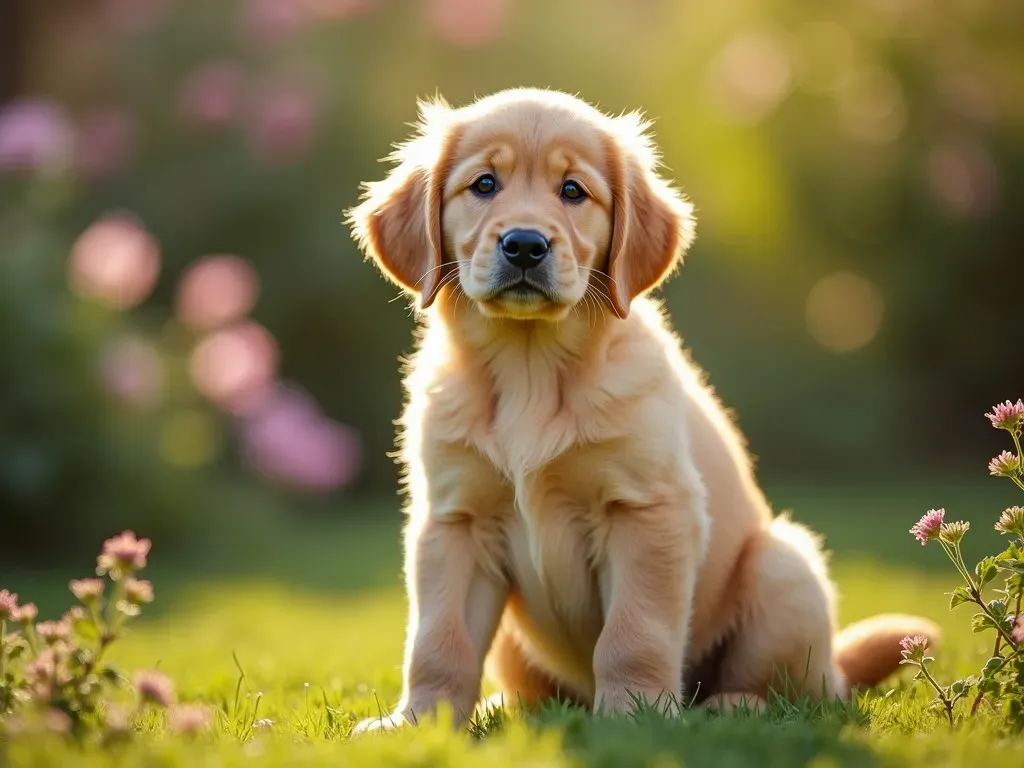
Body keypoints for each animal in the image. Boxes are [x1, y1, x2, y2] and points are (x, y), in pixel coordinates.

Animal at [348, 87, 937, 729]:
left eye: (573, 191)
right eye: (483, 184)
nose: (525, 245)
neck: (531, 366)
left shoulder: (649, 510)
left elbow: (634, 631)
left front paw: (635, 713)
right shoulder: (454, 521)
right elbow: (438, 639)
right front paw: (418, 721)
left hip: (784, 569)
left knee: (800, 693)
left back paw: (733, 705)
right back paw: (507, 707)